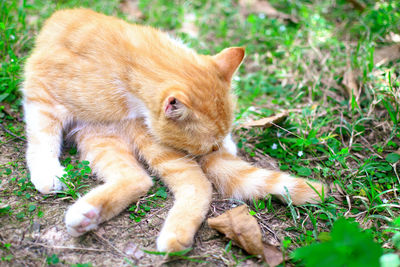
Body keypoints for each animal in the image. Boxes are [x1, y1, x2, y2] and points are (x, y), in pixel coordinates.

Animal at [23, 8, 326, 253]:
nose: (214, 149)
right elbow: (42, 137)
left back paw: (169, 237)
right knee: (141, 179)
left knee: (189, 184)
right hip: (100, 138)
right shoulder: (42, 95)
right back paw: (89, 215)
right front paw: (48, 173)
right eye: (204, 147)